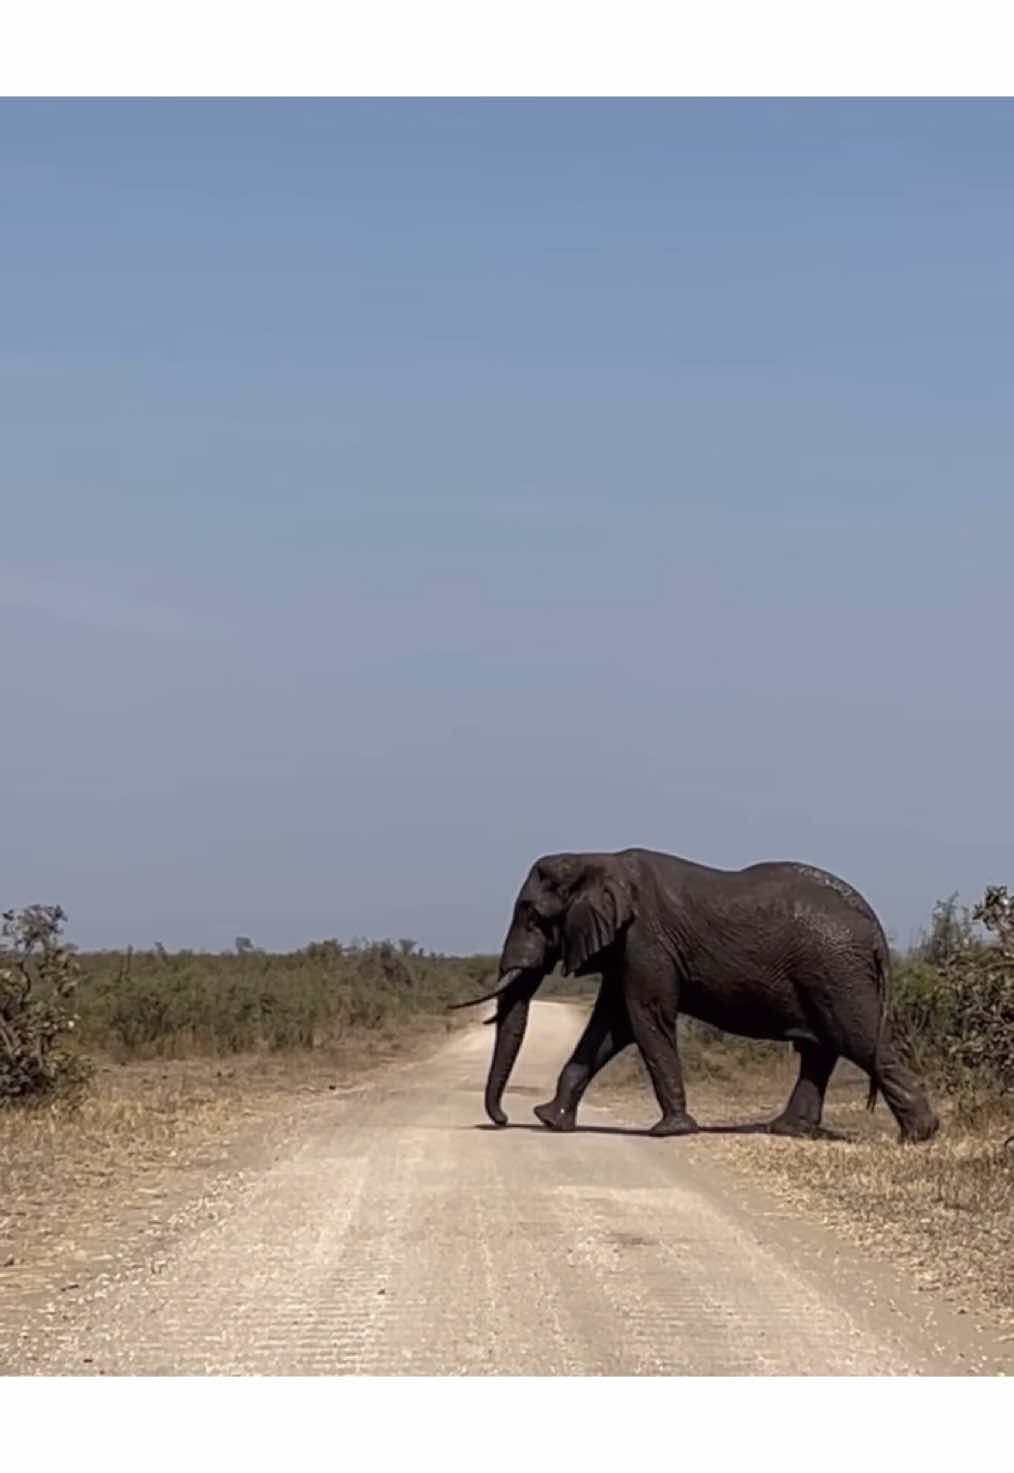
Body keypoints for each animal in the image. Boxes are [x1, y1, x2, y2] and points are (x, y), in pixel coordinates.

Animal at [453, 848, 943, 1143]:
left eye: (532, 916)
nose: (502, 1121)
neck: (596, 859)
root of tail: (872, 923)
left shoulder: (646, 941)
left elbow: (644, 1017)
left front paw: (670, 1131)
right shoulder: (626, 949)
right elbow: (611, 1024)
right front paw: (549, 1120)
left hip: (835, 968)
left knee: (858, 1041)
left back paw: (920, 1136)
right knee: (821, 1049)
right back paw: (787, 1130)